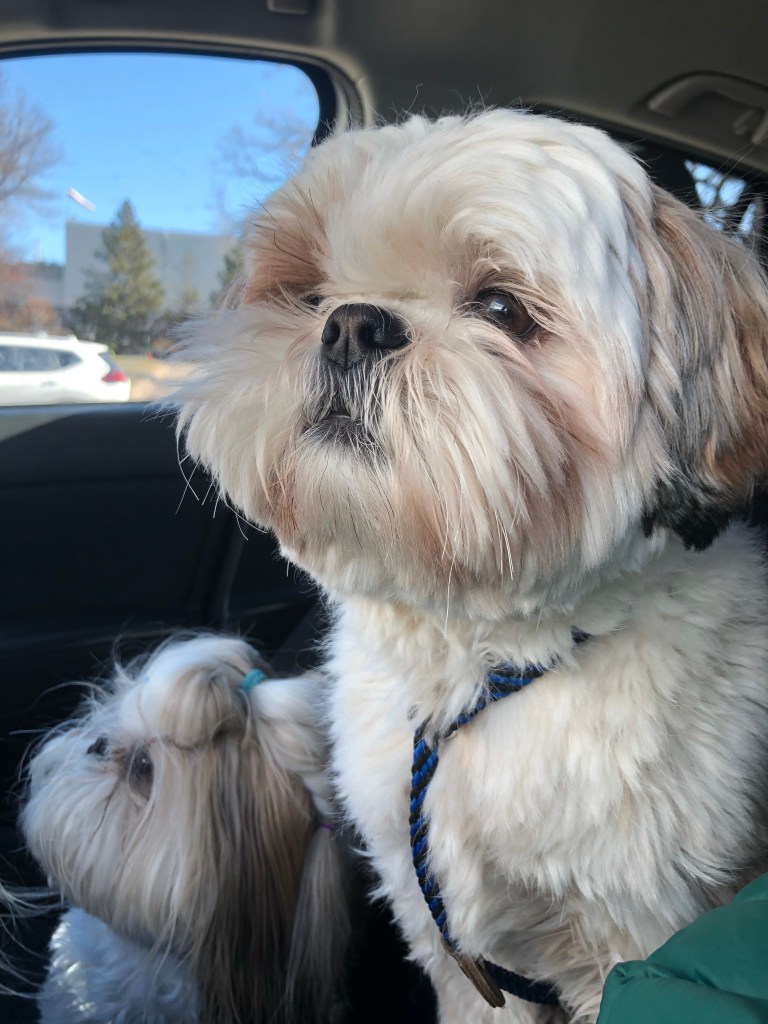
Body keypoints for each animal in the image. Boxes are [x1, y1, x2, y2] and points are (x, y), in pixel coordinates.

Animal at [177, 109, 768, 1022]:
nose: (352, 323)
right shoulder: (455, 941)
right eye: (308, 294)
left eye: (500, 307)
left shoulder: (633, 927)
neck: (480, 668)